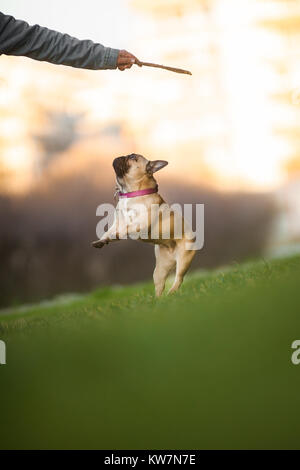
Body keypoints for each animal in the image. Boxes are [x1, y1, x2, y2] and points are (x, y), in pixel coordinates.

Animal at [92, 153, 196, 294]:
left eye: (132, 157)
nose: (121, 156)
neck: (131, 193)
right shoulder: (117, 222)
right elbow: (108, 232)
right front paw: (102, 241)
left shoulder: (141, 223)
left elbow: (127, 227)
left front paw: (117, 235)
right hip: (160, 269)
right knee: (160, 285)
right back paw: (160, 298)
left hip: (184, 260)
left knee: (178, 279)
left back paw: (172, 292)